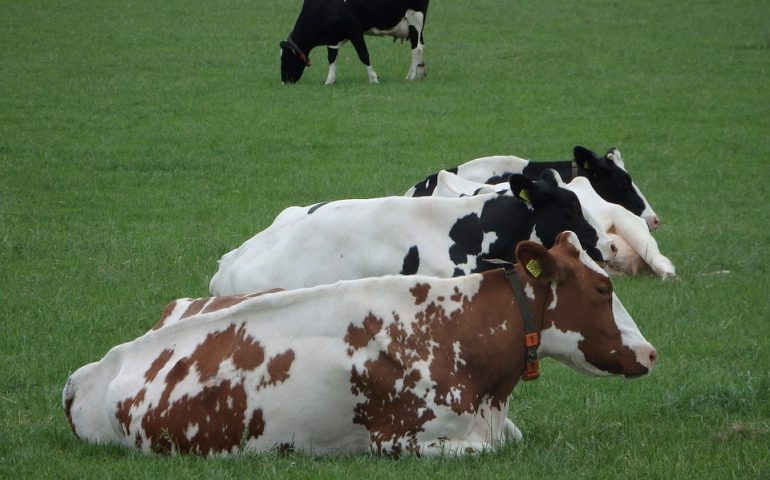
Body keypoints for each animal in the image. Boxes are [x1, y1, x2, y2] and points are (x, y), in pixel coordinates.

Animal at [280, 0, 428, 84]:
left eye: (285, 58)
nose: (284, 81)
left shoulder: (354, 30)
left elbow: (363, 55)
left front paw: (373, 78)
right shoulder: (333, 36)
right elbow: (331, 57)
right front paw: (329, 80)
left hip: (415, 17)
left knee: (417, 48)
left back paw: (410, 76)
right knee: (420, 45)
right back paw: (420, 74)